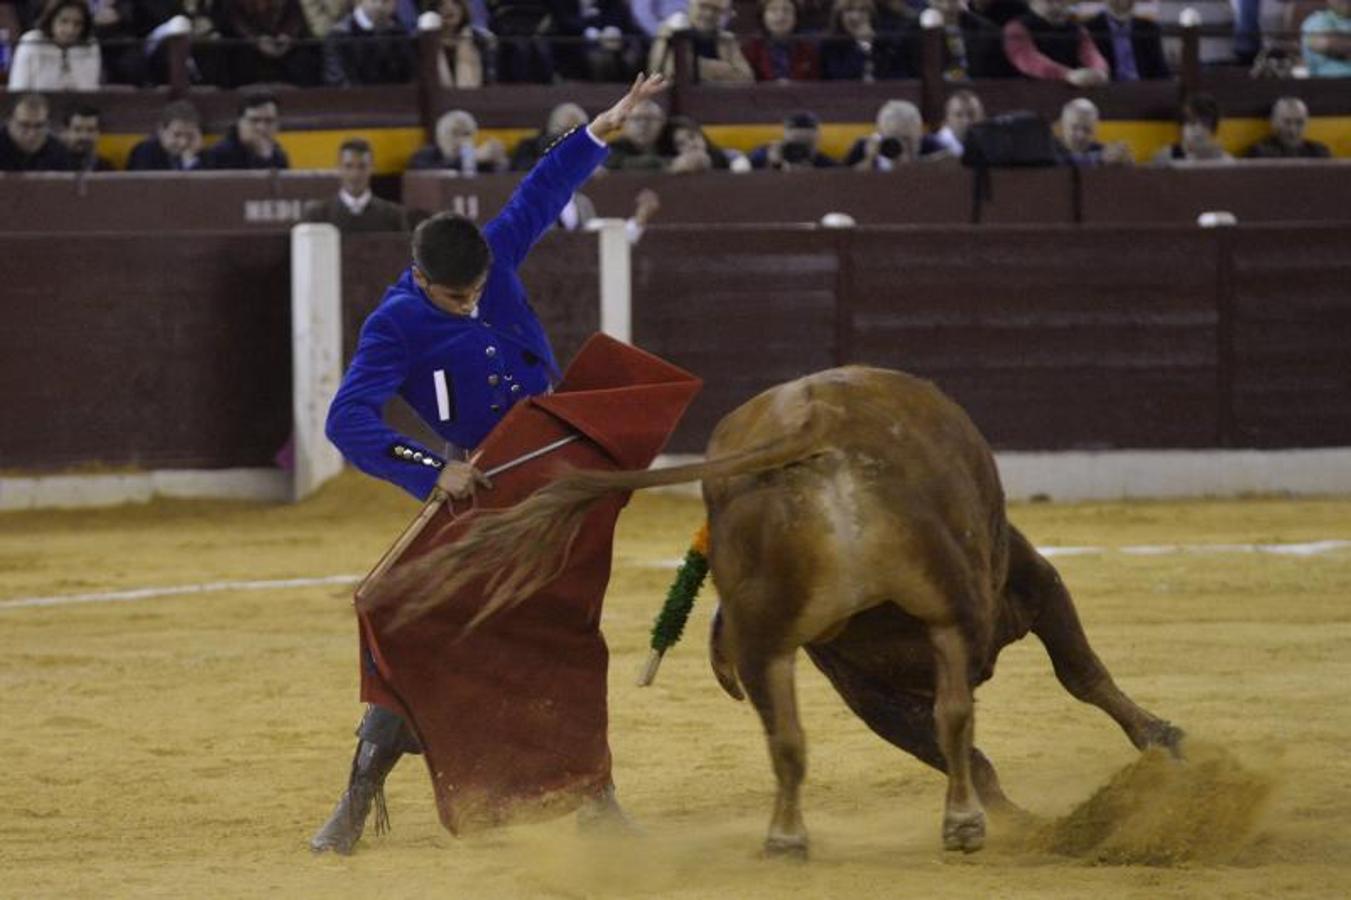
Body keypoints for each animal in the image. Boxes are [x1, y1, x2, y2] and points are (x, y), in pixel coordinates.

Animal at [378, 367, 1183, 854]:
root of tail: (814, 423)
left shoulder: (861, 677)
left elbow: (1048, 692)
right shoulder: (1024, 585)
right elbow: (1075, 677)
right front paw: (1161, 741)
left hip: (770, 640)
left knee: (794, 738)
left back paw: (789, 838)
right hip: (939, 614)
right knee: (955, 714)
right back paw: (963, 825)